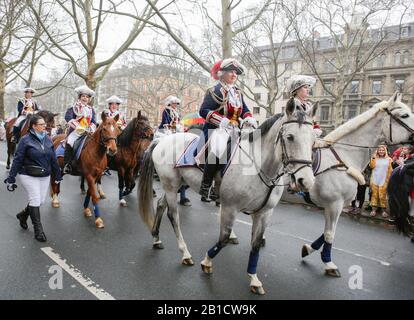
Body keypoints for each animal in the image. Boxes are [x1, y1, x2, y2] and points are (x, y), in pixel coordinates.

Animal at [138, 99, 316, 296]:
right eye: (290, 137)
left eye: (313, 139)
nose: (306, 181)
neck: (258, 166)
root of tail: (162, 140)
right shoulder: (230, 207)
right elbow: (223, 238)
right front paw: (207, 262)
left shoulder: (264, 213)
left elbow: (255, 244)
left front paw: (254, 279)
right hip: (171, 185)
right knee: (173, 216)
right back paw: (185, 253)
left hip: (177, 185)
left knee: (161, 205)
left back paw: (156, 238)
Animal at [296, 91, 414, 276]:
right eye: (404, 115)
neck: (344, 156)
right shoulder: (334, 204)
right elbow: (329, 234)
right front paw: (328, 263)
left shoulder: (337, 204)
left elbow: (327, 232)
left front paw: (309, 248)